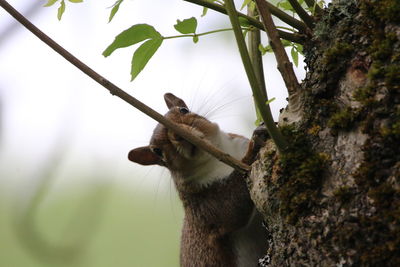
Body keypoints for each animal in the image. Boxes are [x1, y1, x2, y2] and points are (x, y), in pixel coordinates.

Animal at [128, 93, 268, 266]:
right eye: (157, 151)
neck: (213, 159)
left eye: (184, 110)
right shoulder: (203, 205)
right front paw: (254, 145)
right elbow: (232, 206)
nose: (177, 135)